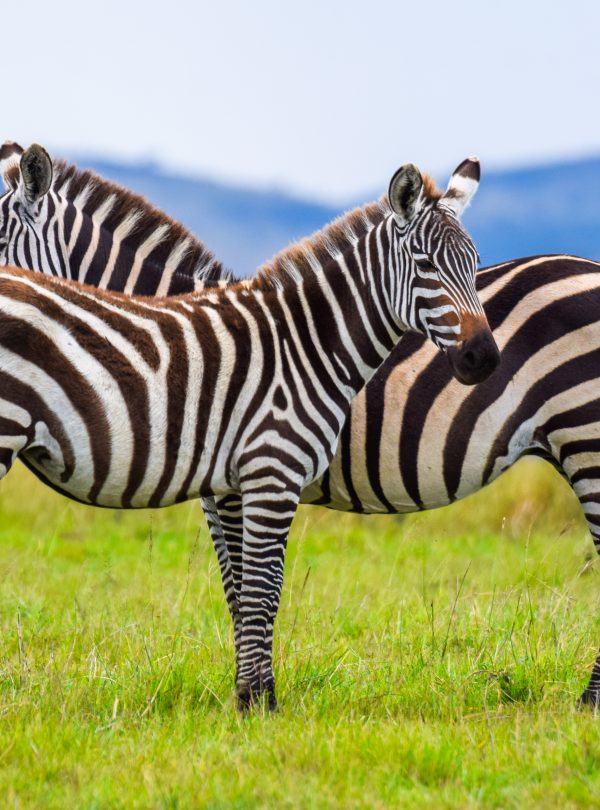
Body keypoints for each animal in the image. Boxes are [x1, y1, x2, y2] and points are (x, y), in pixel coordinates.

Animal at [4, 143, 600, 709]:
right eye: (426, 262)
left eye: (474, 264)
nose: (483, 359)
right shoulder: (227, 482)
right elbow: (239, 587)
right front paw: (249, 692)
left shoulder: (243, 477)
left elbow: (252, 589)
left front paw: (254, 697)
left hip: (584, 436)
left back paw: (588, 700)